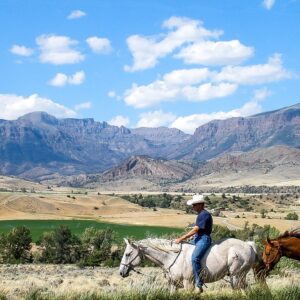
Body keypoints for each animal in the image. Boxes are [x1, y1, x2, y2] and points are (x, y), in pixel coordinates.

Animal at [119, 238, 264, 292]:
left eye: (128, 254)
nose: (121, 272)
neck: (172, 257)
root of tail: (248, 244)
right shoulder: (173, 284)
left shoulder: (188, 283)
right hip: (240, 277)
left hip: (236, 276)